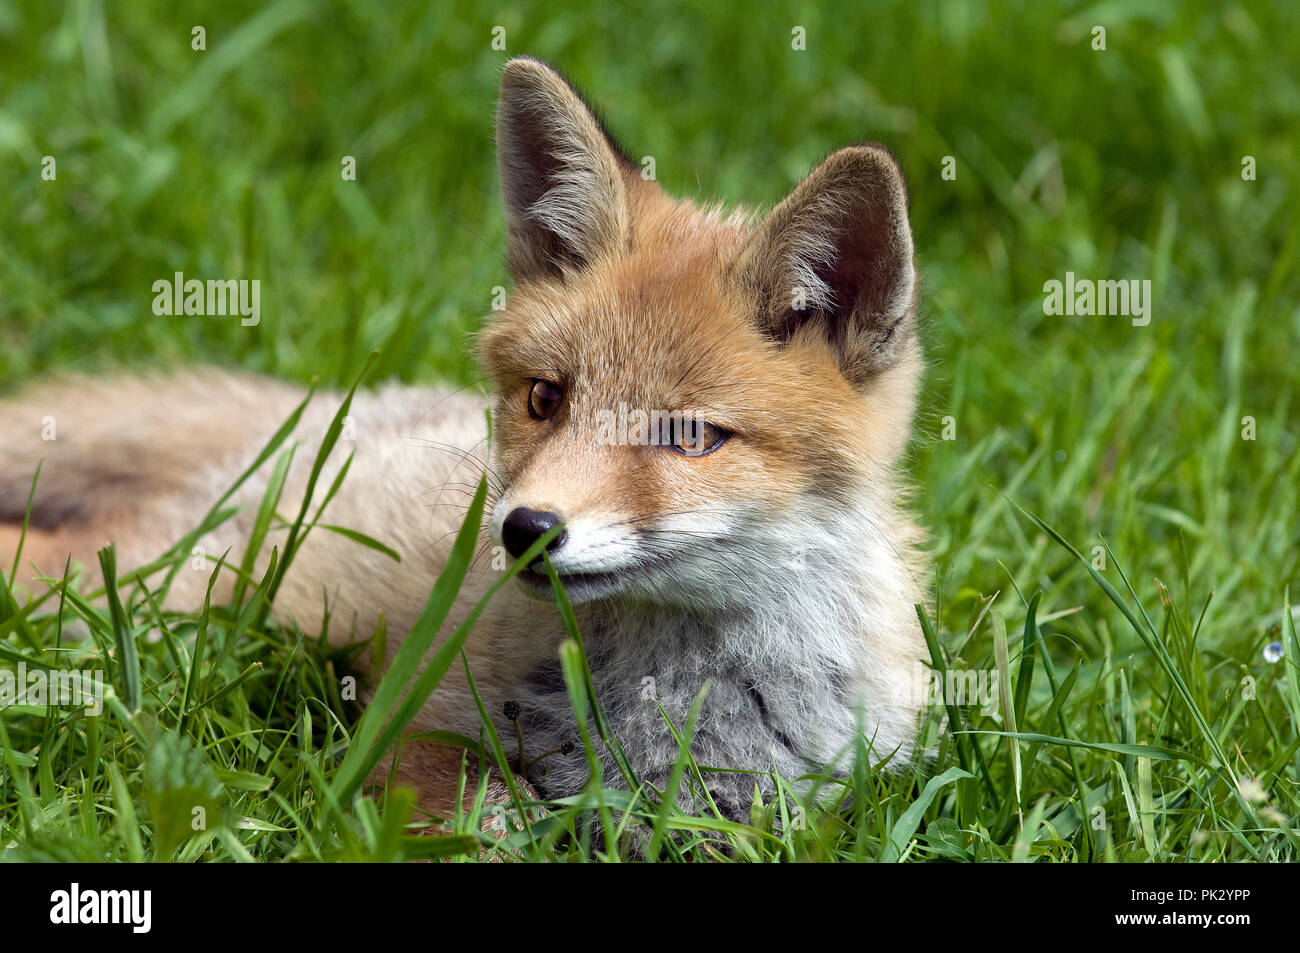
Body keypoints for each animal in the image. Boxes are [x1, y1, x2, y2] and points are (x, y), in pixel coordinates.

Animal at [0, 57, 928, 824]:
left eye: (690, 436)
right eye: (546, 398)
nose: (527, 529)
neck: (668, 701)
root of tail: (340, 408)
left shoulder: (803, 804)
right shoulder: (414, 730)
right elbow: (487, 822)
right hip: (175, 589)